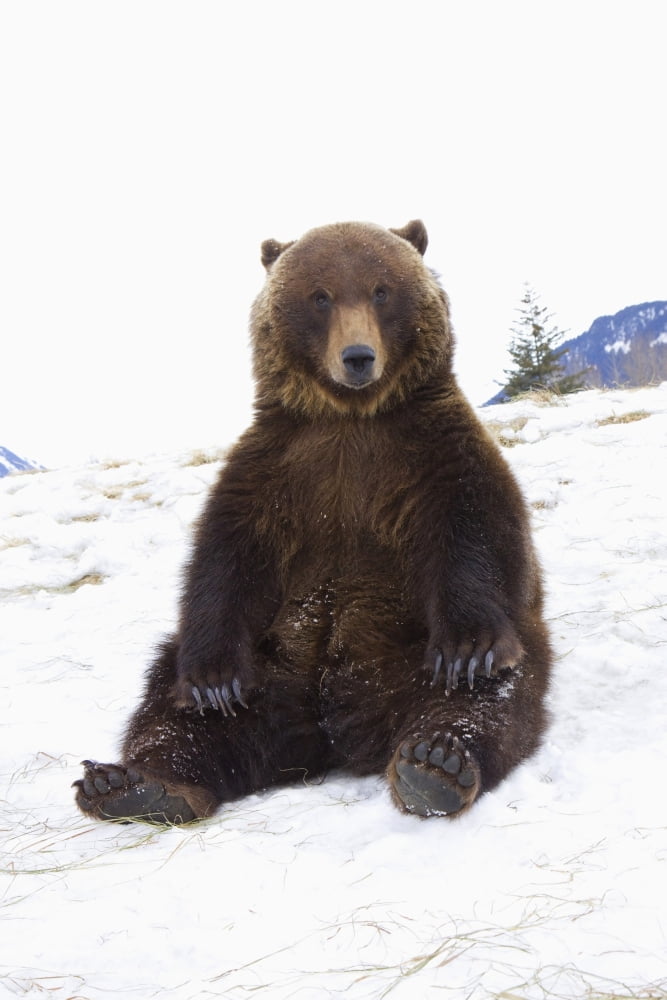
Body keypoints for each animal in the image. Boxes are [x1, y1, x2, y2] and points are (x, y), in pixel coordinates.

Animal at [73, 219, 552, 824]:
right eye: (320, 296)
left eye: (381, 290)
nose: (358, 356)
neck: (349, 415)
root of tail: (330, 732)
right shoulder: (275, 470)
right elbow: (223, 563)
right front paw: (212, 684)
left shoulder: (432, 453)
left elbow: (477, 531)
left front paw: (468, 653)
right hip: (271, 666)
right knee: (175, 703)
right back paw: (135, 784)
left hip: (408, 653)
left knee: (489, 697)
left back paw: (437, 764)